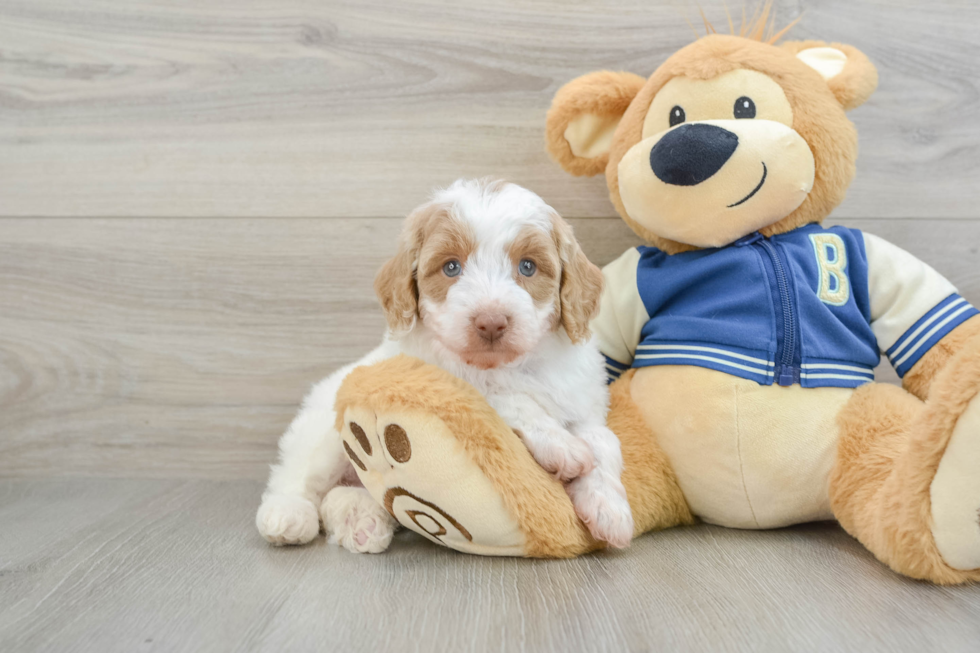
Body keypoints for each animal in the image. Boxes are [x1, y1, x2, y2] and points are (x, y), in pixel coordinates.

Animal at [255, 177, 636, 552]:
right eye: (451, 267)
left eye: (527, 266)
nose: (491, 322)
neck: (509, 366)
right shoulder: (439, 380)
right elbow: (507, 400)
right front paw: (562, 447)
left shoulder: (585, 405)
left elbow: (604, 442)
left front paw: (609, 510)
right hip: (324, 431)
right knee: (300, 477)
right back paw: (288, 515)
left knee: (341, 496)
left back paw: (362, 523)